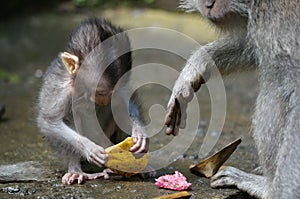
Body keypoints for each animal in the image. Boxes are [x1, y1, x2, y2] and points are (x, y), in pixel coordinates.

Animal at [37, 17, 148, 184]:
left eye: (114, 91)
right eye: (101, 92)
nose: (106, 100)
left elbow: (124, 98)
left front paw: (139, 130)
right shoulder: (62, 89)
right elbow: (49, 121)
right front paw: (89, 148)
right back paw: (76, 170)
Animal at [165, 0, 300, 198]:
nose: (208, 4)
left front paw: (278, 192)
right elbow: (250, 45)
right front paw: (196, 66)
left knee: (274, 86)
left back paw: (267, 187)